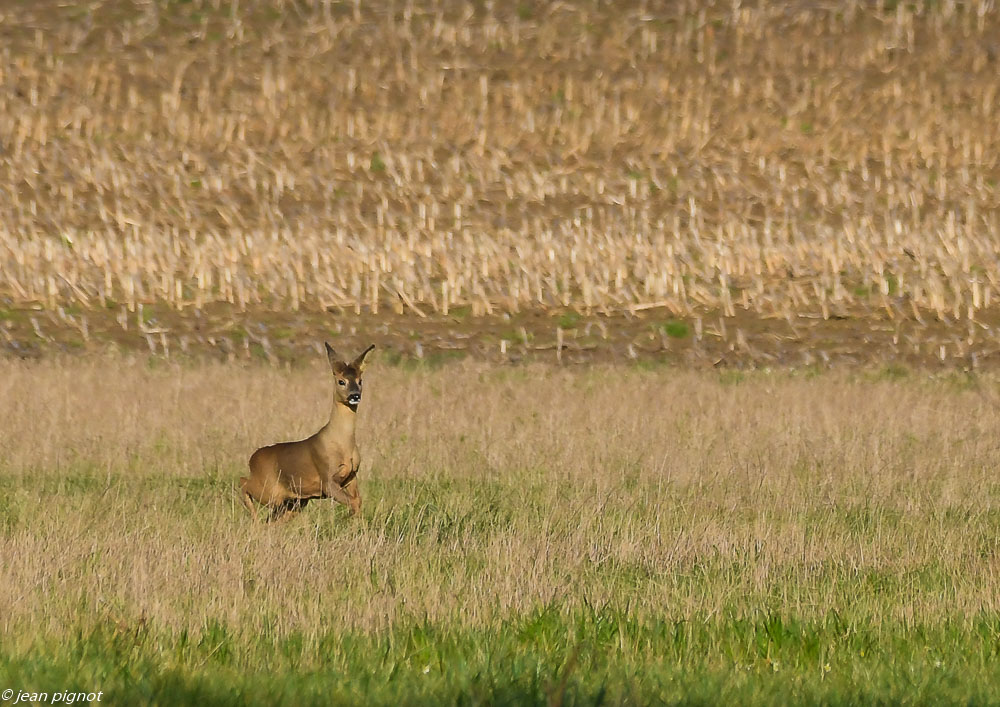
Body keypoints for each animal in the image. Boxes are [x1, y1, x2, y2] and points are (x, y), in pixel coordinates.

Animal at [240, 342, 376, 520]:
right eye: (341, 381)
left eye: (360, 381)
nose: (355, 396)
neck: (342, 442)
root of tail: (252, 459)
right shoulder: (327, 479)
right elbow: (353, 502)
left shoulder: (352, 476)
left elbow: (358, 502)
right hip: (269, 490)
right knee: (243, 483)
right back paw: (254, 516)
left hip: (293, 502)